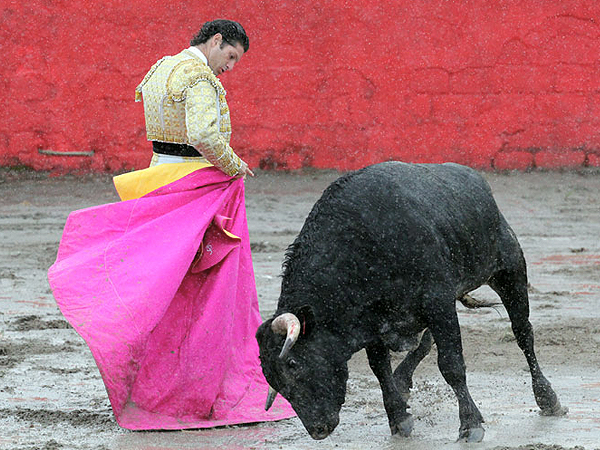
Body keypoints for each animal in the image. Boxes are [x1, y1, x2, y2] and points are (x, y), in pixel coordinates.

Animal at [254, 160, 568, 442]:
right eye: (271, 379)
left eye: (293, 363)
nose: (317, 430)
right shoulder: (375, 321)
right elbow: (380, 368)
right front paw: (399, 418)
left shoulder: (438, 301)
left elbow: (451, 365)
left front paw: (470, 425)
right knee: (425, 342)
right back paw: (402, 380)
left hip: (508, 269)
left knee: (523, 333)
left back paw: (548, 398)